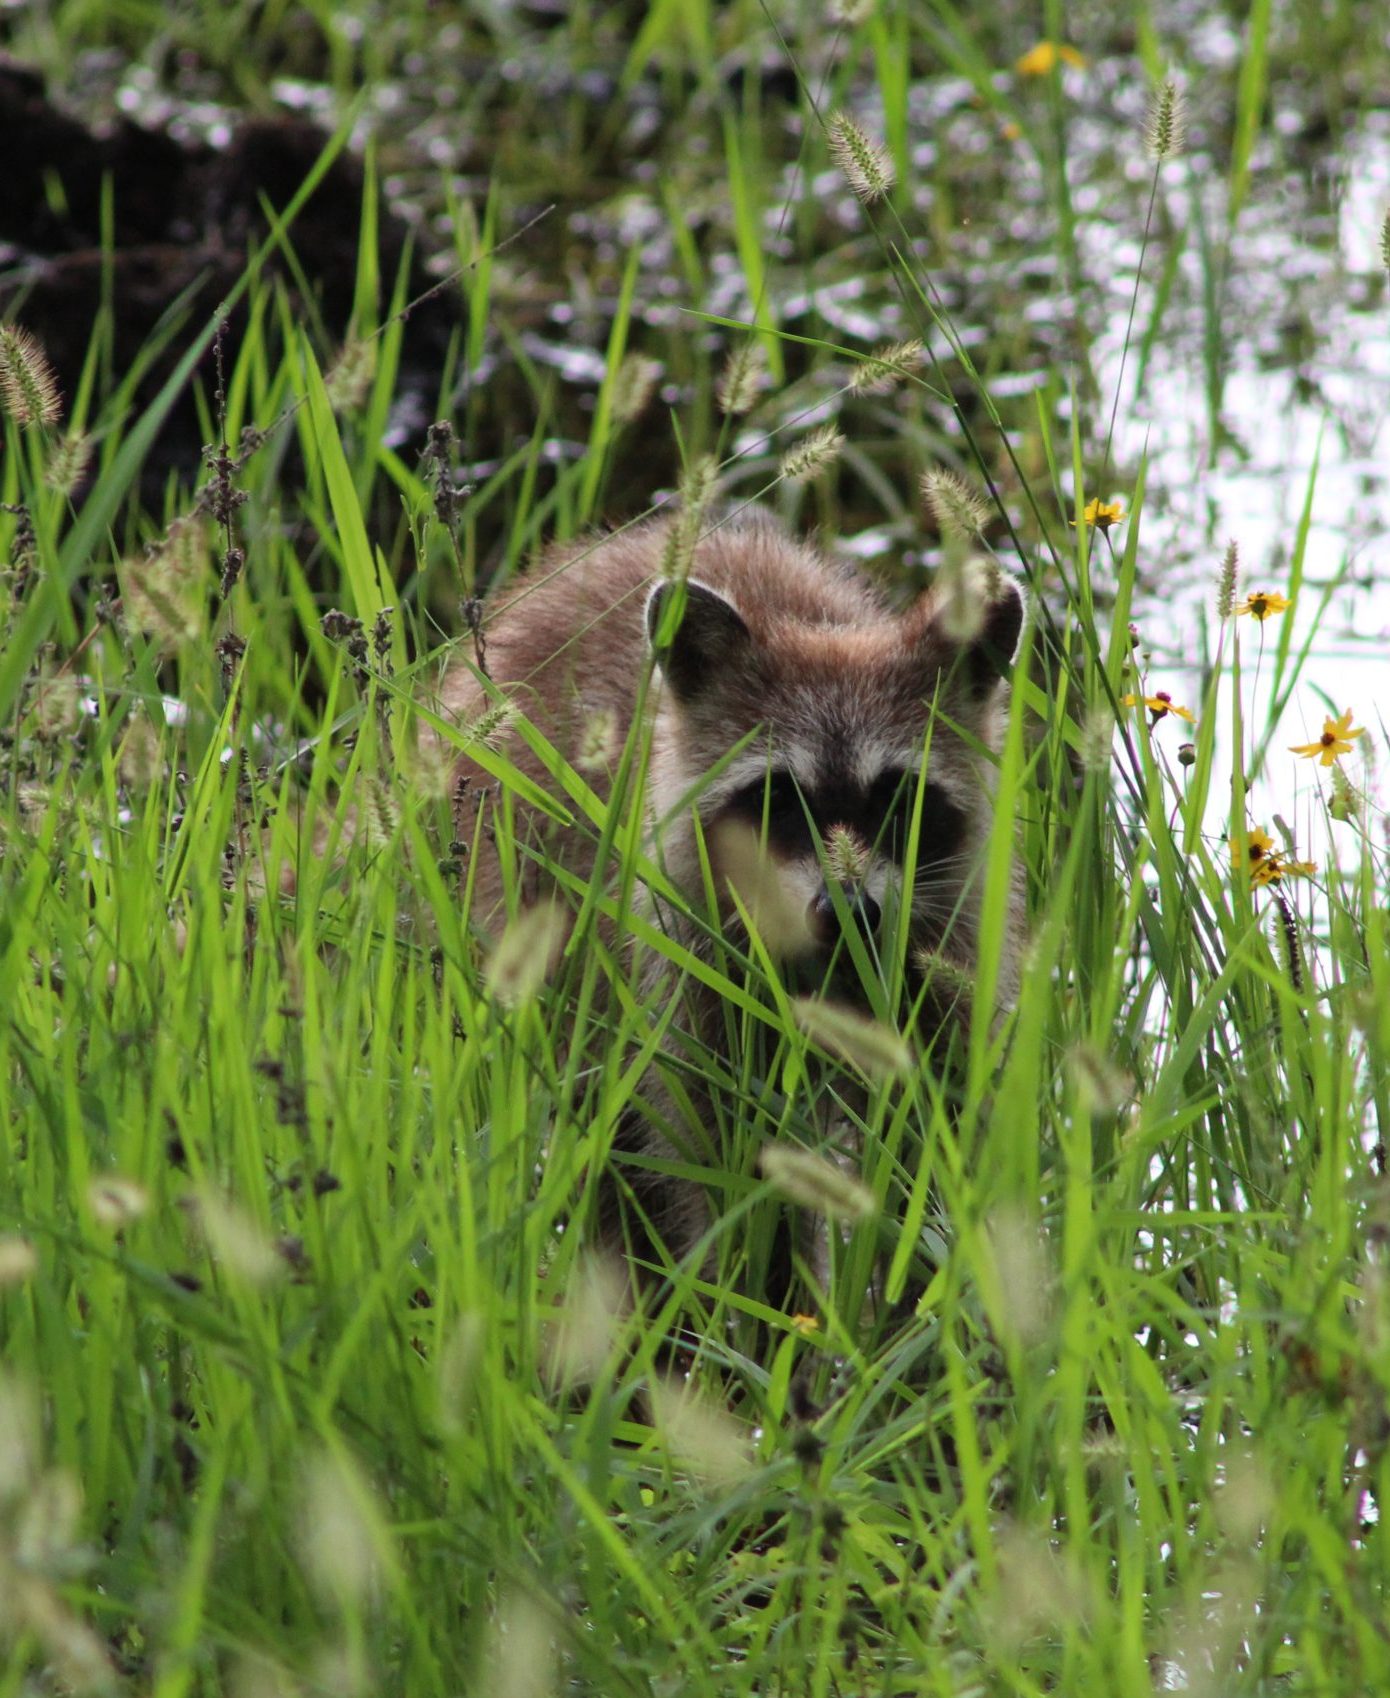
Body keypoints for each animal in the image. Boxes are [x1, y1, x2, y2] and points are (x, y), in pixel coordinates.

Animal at [436, 512, 1025, 1276]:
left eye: (899, 800)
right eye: (778, 799)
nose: (846, 912)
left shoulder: (945, 949)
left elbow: (928, 1141)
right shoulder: (685, 965)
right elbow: (720, 1159)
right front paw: (748, 1299)